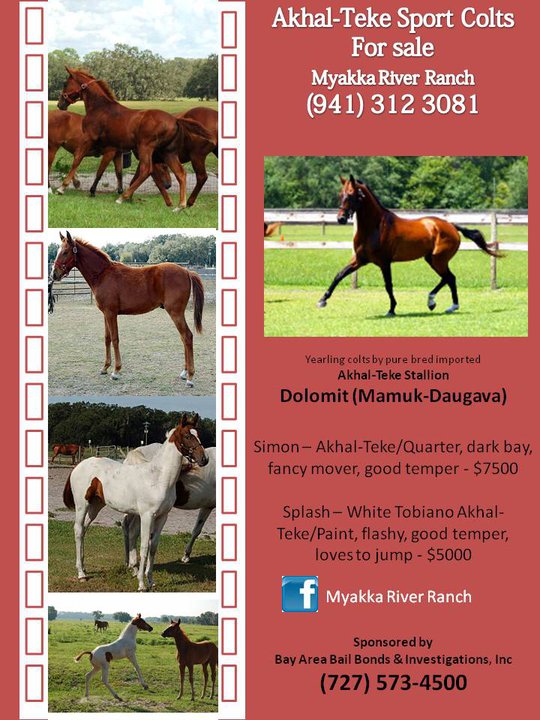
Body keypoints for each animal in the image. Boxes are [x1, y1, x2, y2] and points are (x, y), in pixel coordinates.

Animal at [50, 231, 204, 387]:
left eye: (65, 252)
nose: (54, 274)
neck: (102, 274)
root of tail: (186, 271)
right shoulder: (105, 314)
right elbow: (107, 338)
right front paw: (105, 367)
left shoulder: (111, 313)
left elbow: (115, 339)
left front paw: (116, 371)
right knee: (183, 338)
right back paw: (184, 372)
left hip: (175, 313)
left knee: (187, 336)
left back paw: (190, 377)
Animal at [57, 68, 194, 210]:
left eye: (65, 84)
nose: (60, 104)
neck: (100, 108)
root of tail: (175, 120)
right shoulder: (115, 150)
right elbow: (117, 172)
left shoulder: (89, 139)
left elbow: (78, 160)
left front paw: (62, 187)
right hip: (168, 152)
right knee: (181, 173)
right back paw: (180, 206)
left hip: (146, 148)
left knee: (146, 170)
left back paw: (122, 198)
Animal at [62, 414, 208, 591]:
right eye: (187, 436)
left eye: (198, 434)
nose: (204, 459)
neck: (158, 478)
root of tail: (79, 465)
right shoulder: (147, 516)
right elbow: (144, 547)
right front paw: (141, 584)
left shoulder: (162, 517)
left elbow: (153, 547)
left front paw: (151, 581)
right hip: (82, 505)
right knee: (78, 530)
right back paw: (81, 574)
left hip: (95, 506)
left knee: (83, 530)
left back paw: (84, 568)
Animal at [317, 175, 502, 316]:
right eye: (340, 194)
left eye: (351, 195)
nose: (340, 219)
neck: (375, 227)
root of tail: (451, 225)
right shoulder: (360, 260)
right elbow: (339, 275)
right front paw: (322, 300)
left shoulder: (384, 262)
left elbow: (388, 285)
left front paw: (391, 309)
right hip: (431, 259)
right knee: (449, 278)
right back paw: (444, 305)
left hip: (438, 259)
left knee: (449, 277)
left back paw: (439, 303)